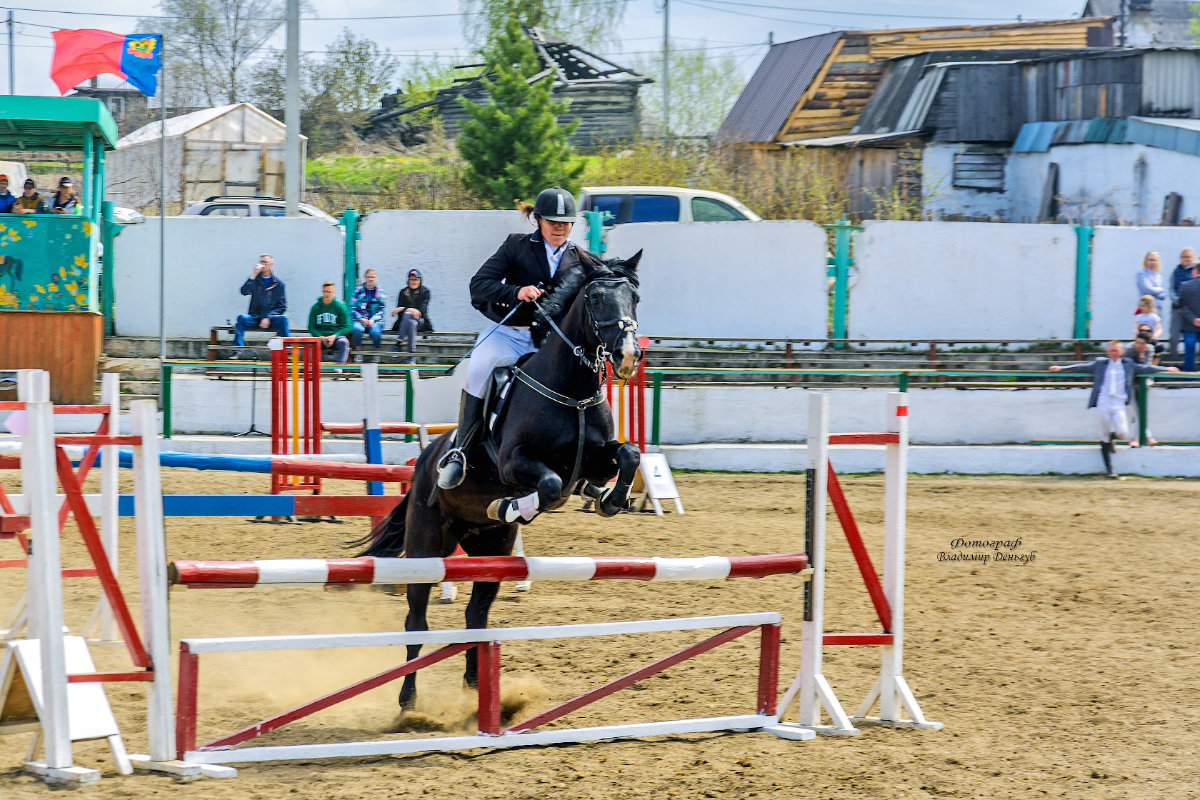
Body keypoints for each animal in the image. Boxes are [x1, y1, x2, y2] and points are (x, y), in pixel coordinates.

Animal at [352, 247, 643, 710]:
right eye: (596, 298)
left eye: (634, 298)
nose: (628, 355)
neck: (572, 389)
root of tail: (424, 461)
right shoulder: (513, 463)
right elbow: (550, 486)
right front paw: (508, 505)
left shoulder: (597, 459)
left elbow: (628, 454)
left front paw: (610, 499)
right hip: (426, 547)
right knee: (416, 621)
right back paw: (408, 700)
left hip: (490, 550)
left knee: (476, 615)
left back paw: (476, 688)